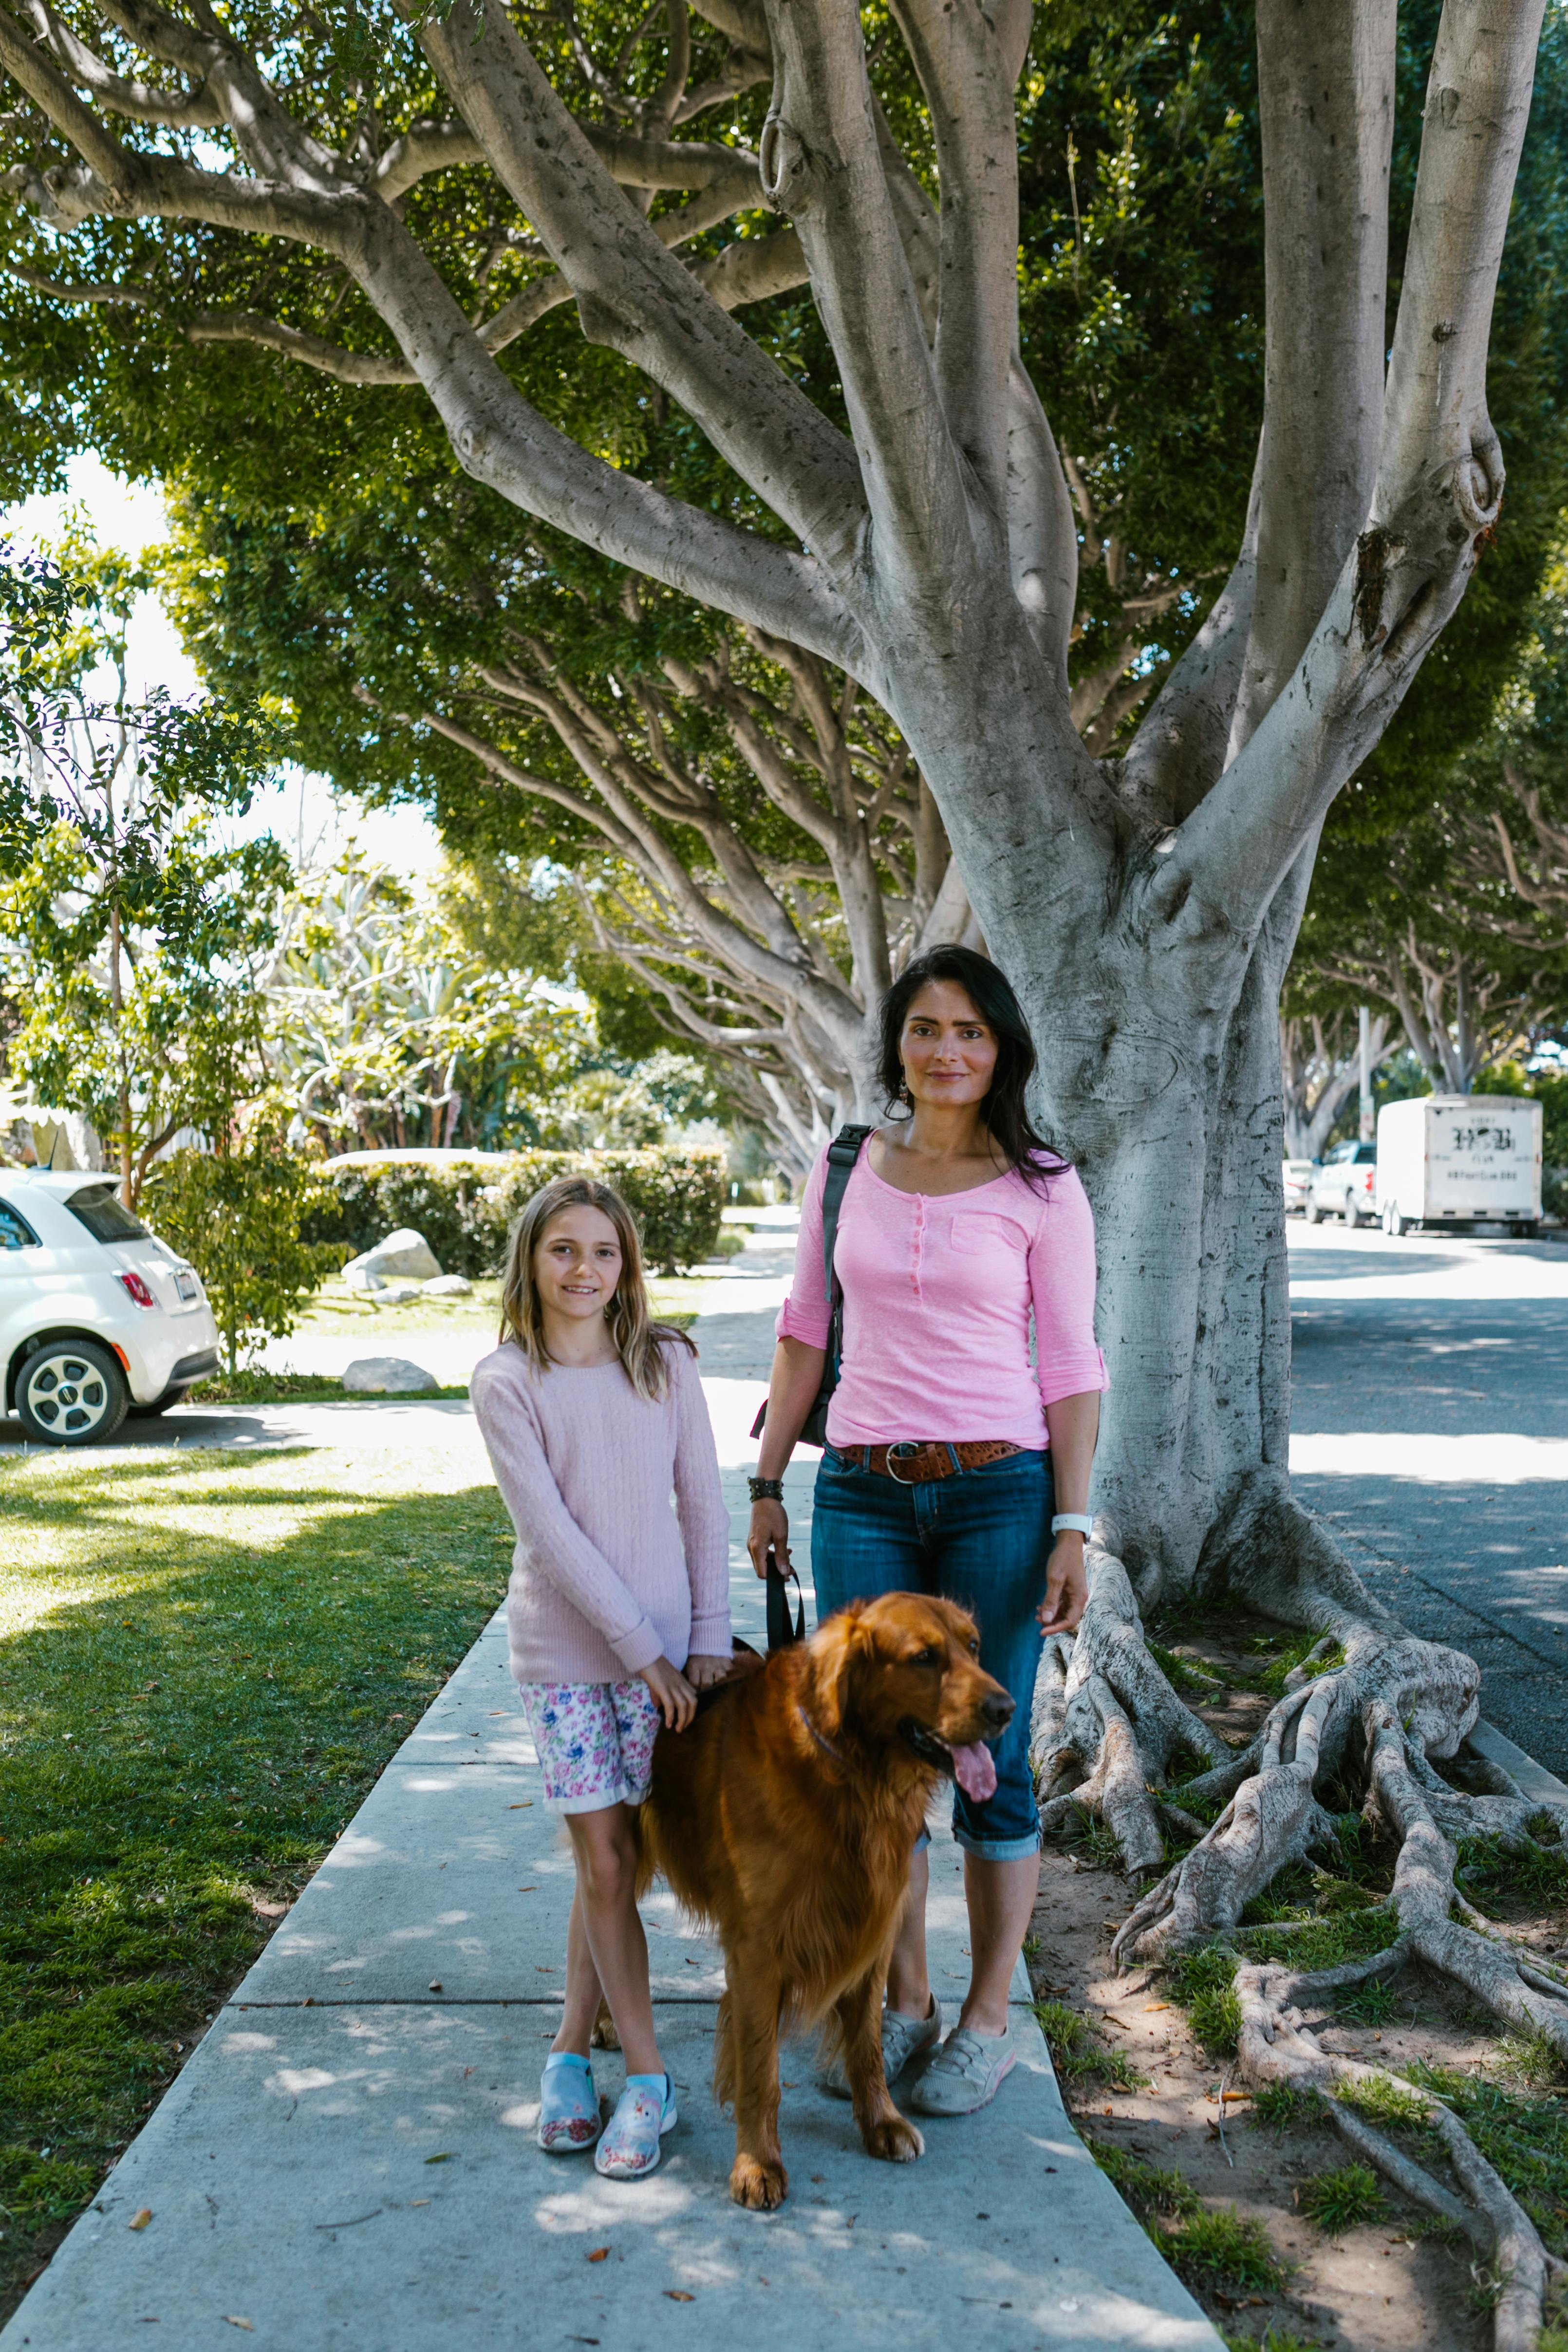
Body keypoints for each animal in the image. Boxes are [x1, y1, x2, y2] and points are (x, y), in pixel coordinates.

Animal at [639, 1590, 1020, 2211]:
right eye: (923, 1657)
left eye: (973, 1646)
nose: (1006, 1709)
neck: (853, 1779)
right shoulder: (757, 1950)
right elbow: (760, 2072)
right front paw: (757, 2163)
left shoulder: (869, 1931)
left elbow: (866, 2047)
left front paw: (880, 2123)